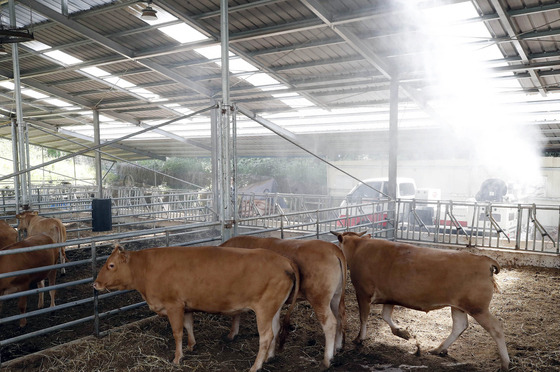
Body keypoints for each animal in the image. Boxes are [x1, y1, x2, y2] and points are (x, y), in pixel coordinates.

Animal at [94, 244, 300, 372]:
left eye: (111, 265)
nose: (95, 284)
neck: (146, 268)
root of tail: (284, 261)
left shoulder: (174, 305)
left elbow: (177, 332)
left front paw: (177, 358)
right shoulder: (186, 306)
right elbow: (188, 326)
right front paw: (191, 345)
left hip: (264, 309)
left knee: (266, 336)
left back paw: (256, 366)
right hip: (274, 308)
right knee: (275, 330)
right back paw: (269, 357)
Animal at [218, 237, 346, 368]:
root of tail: (332, 248)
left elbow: (235, 314)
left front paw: (231, 334)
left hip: (320, 299)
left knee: (330, 323)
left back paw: (327, 360)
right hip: (336, 296)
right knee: (339, 318)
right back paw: (337, 347)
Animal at [332, 231, 512, 370]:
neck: (359, 248)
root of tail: (485, 260)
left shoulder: (362, 292)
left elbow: (363, 317)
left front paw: (359, 338)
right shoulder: (390, 297)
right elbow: (386, 316)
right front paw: (402, 332)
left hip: (478, 308)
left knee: (496, 329)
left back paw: (505, 363)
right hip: (459, 306)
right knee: (460, 326)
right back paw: (438, 349)